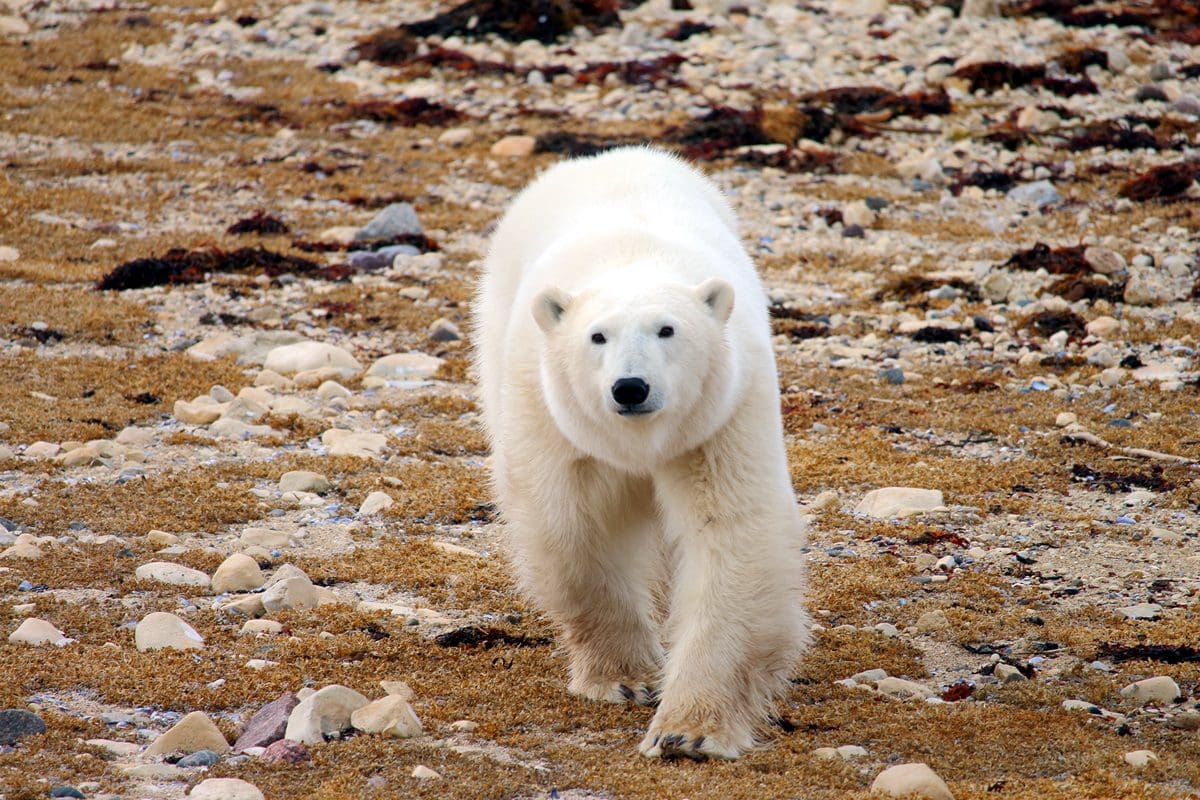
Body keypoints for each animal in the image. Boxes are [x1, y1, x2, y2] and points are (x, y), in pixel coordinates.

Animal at [473, 147, 810, 760]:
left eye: (667, 330)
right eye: (597, 336)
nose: (630, 387)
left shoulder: (720, 418)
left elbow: (731, 532)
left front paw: (690, 730)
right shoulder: (553, 416)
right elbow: (572, 525)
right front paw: (627, 676)